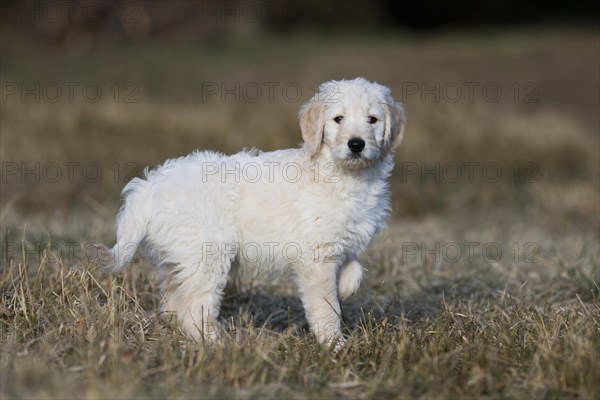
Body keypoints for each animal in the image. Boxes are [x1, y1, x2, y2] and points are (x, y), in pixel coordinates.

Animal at [98, 77, 406, 346]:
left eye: (372, 120)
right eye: (338, 119)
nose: (356, 144)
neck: (343, 175)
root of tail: (149, 187)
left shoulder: (344, 242)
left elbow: (355, 271)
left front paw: (344, 288)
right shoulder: (316, 255)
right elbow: (324, 305)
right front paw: (334, 344)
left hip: (181, 254)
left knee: (175, 294)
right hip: (207, 253)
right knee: (195, 304)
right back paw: (215, 343)